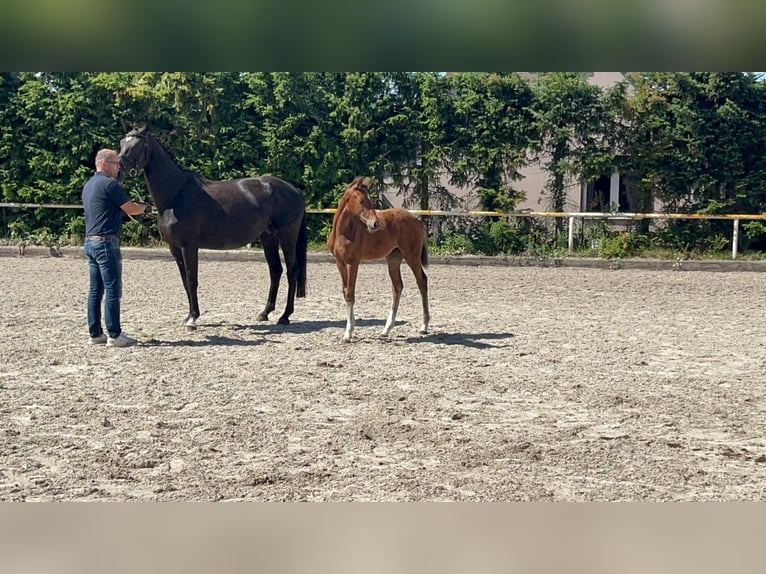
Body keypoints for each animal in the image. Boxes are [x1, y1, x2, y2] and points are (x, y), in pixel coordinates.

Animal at [118, 128, 308, 330]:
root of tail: (294, 190)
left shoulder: (189, 246)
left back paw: (285, 316)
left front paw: (193, 319)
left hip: (287, 236)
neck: (176, 195)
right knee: (275, 271)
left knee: (292, 271)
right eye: (122, 143)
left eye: (137, 145)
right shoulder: (174, 248)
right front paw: (188, 316)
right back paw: (264, 313)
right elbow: (185, 281)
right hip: (268, 237)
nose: (119, 171)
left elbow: (192, 280)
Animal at [326, 178, 428, 344]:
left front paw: (348, 333)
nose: (375, 224)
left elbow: (350, 294)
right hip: (393, 259)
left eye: (370, 200)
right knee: (397, 287)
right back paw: (386, 330)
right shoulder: (339, 263)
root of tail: (417, 220)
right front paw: (351, 326)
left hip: (412, 256)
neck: (343, 233)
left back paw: (424, 326)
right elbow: (345, 291)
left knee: (422, 282)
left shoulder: (353, 262)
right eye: (361, 200)